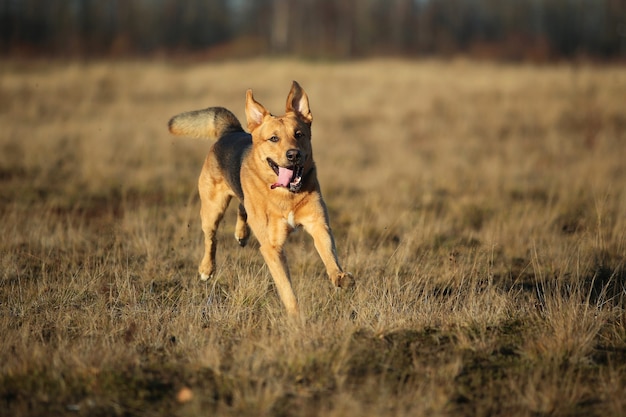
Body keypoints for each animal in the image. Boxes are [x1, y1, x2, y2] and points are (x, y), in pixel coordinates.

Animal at [167, 80, 352, 316]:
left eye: (299, 134)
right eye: (273, 138)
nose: (293, 155)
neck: (286, 194)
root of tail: (231, 131)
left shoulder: (319, 224)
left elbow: (330, 256)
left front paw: (340, 277)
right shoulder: (272, 248)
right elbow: (286, 288)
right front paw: (296, 317)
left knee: (241, 207)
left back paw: (241, 234)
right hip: (212, 208)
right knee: (211, 237)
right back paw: (206, 269)